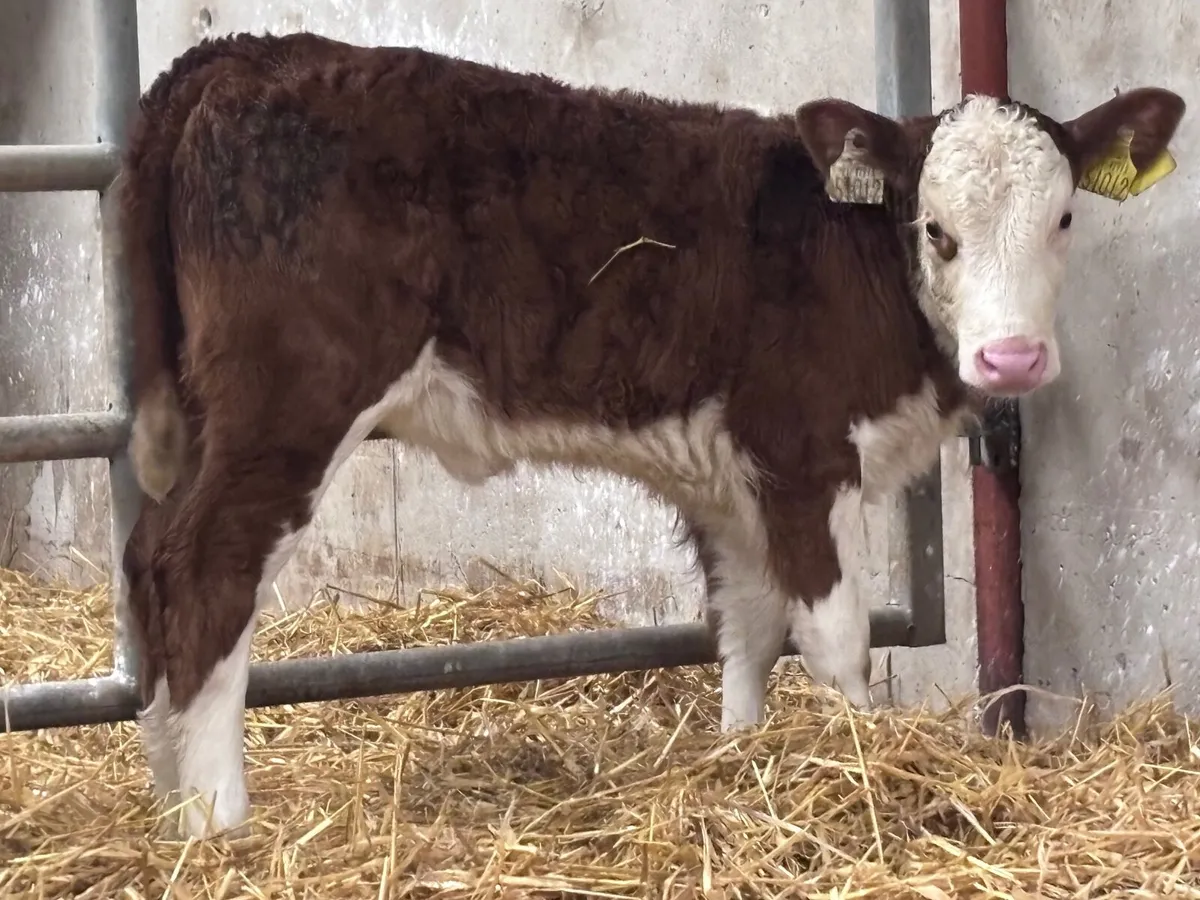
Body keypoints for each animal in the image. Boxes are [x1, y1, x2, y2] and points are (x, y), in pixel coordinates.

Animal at [115, 30, 1184, 839]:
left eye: (1064, 217)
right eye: (935, 229)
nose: (1013, 361)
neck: (850, 258)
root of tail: (239, 55)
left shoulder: (731, 480)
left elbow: (747, 629)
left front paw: (745, 762)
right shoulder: (801, 450)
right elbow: (834, 637)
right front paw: (859, 769)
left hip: (208, 416)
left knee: (145, 557)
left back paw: (165, 794)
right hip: (292, 403)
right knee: (203, 569)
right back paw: (219, 821)